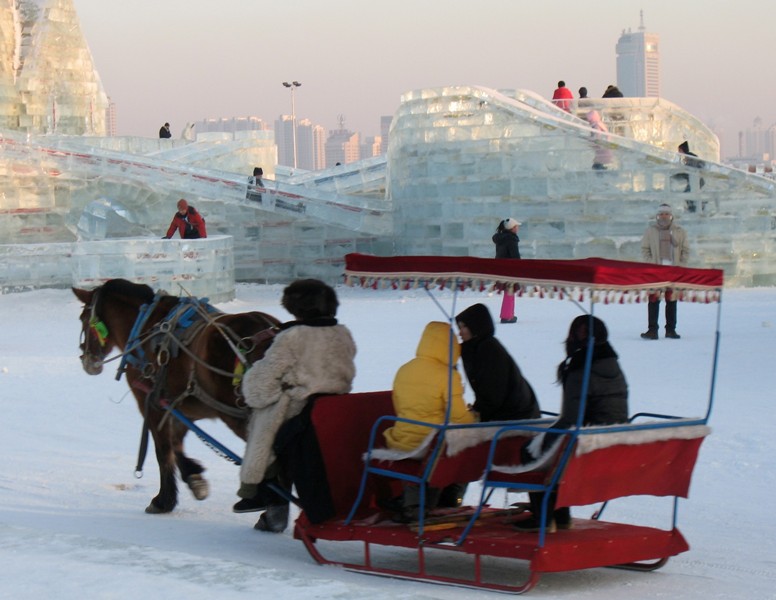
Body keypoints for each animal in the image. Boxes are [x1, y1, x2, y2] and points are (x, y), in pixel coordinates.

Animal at [71, 278, 280, 512]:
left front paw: (164, 499)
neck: (145, 326)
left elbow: (163, 449)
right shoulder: (182, 407)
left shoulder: (151, 403)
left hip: (239, 417)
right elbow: (176, 444)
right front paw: (194, 478)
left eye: (83, 318)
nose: (86, 359)